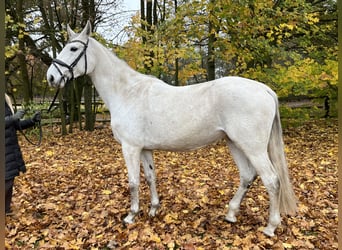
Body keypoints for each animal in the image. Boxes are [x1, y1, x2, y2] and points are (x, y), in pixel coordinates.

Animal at [46, 21, 296, 236]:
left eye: (73, 48)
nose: (51, 77)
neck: (127, 93)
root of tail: (264, 89)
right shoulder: (145, 148)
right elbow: (150, 177)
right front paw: (153, 209)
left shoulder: (130, 147)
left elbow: (133, 182)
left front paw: (131, 215)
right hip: (234, 143)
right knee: (247, 176)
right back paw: (231, 214)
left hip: (253, 147)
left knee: (272, 180)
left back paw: (270, 227)